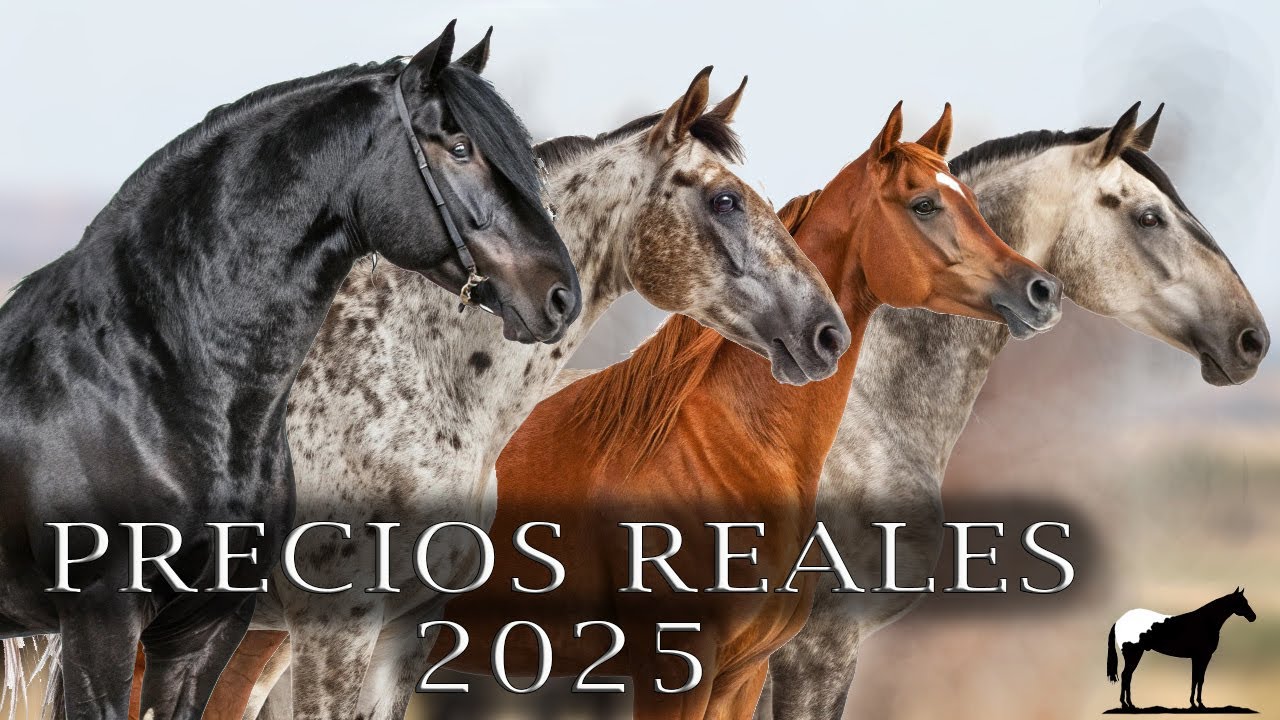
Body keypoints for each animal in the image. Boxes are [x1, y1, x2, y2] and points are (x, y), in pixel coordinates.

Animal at [431, 103, 1062, 720]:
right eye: (924, 204)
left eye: (972, 202)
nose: (1040, 290)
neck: (722, 447)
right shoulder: (681, 671)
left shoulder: (743, 674)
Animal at [1109, 588, 1256, 709]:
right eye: (1242, 602)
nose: (1253, 617)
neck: (1206, 622)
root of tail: (1119, 621)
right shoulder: (1203, 657)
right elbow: (1199, 679)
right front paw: (1199, 704)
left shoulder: (1196, 658)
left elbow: (1195, 679)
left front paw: (1194, 703)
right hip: (1134, 654)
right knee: (1126, 675)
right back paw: (1126, 704)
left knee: (1127, 676)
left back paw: (1129, 704)